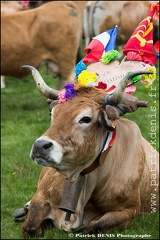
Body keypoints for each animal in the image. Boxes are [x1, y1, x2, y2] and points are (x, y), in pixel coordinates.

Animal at [14, 65, 159, 238]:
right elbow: (30, 227)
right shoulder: (41, 196)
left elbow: (94, 228)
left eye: (85, 118)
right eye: (53, 113)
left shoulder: (128, 211)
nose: (40, 146)